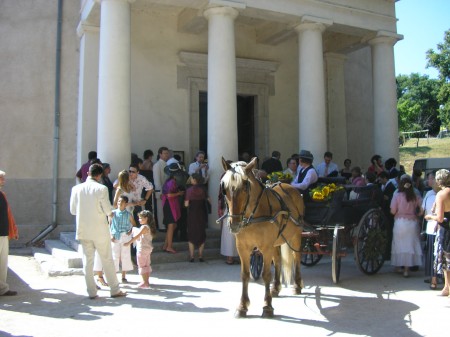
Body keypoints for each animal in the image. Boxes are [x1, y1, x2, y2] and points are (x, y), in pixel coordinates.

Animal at [219, 156, 304, 316]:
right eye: (224, 189)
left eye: (245, 186)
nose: (234, 224)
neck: (253, 215)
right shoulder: (243, 248)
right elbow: (245, 274)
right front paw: (242, 306)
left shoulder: (266, 247)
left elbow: (266, 274)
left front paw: (267, 306)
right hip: (277, 241)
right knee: (278, 260)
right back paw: (275, 287)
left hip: (295, 236)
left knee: (296, 257)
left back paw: (297, 285)